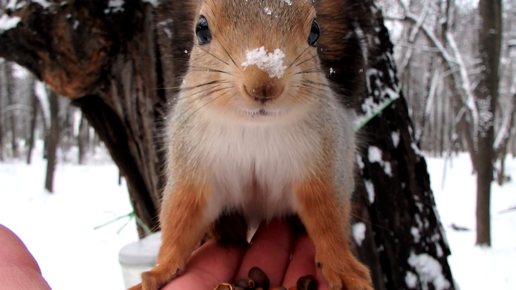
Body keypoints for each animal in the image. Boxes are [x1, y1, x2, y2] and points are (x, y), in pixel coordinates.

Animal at [131, 0, 372, 290]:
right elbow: (180, 219)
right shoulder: (191, 167)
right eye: (201, 29)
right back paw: (225, 225)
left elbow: (328, 221)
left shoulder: (323, 164)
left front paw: (344, 269)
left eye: (315, 31)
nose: (264, 85)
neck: (255, 128)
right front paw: (160, 271)